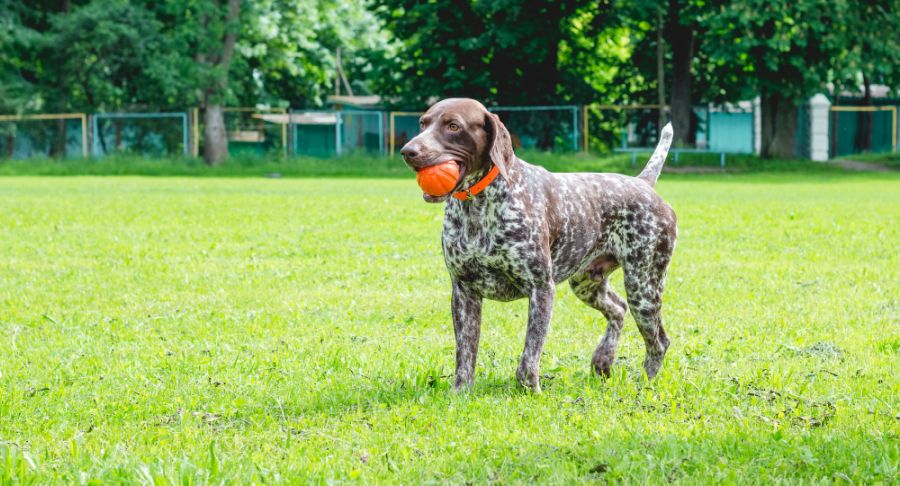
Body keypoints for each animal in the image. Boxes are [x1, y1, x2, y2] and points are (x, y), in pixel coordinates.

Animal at [400, 98, 676, 392]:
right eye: (423, 124)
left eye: (453, 126)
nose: (408, 151)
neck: (478, 206)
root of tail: (643, 183)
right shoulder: (464, 291)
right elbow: (465, 354)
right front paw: (460, 392)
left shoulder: (541, 288)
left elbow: (529, 354)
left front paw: (530, 391)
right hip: (587, 283)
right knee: (618, 309)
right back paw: (602, 360)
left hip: (643, 287)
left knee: (659, 341)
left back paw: (645, 383)